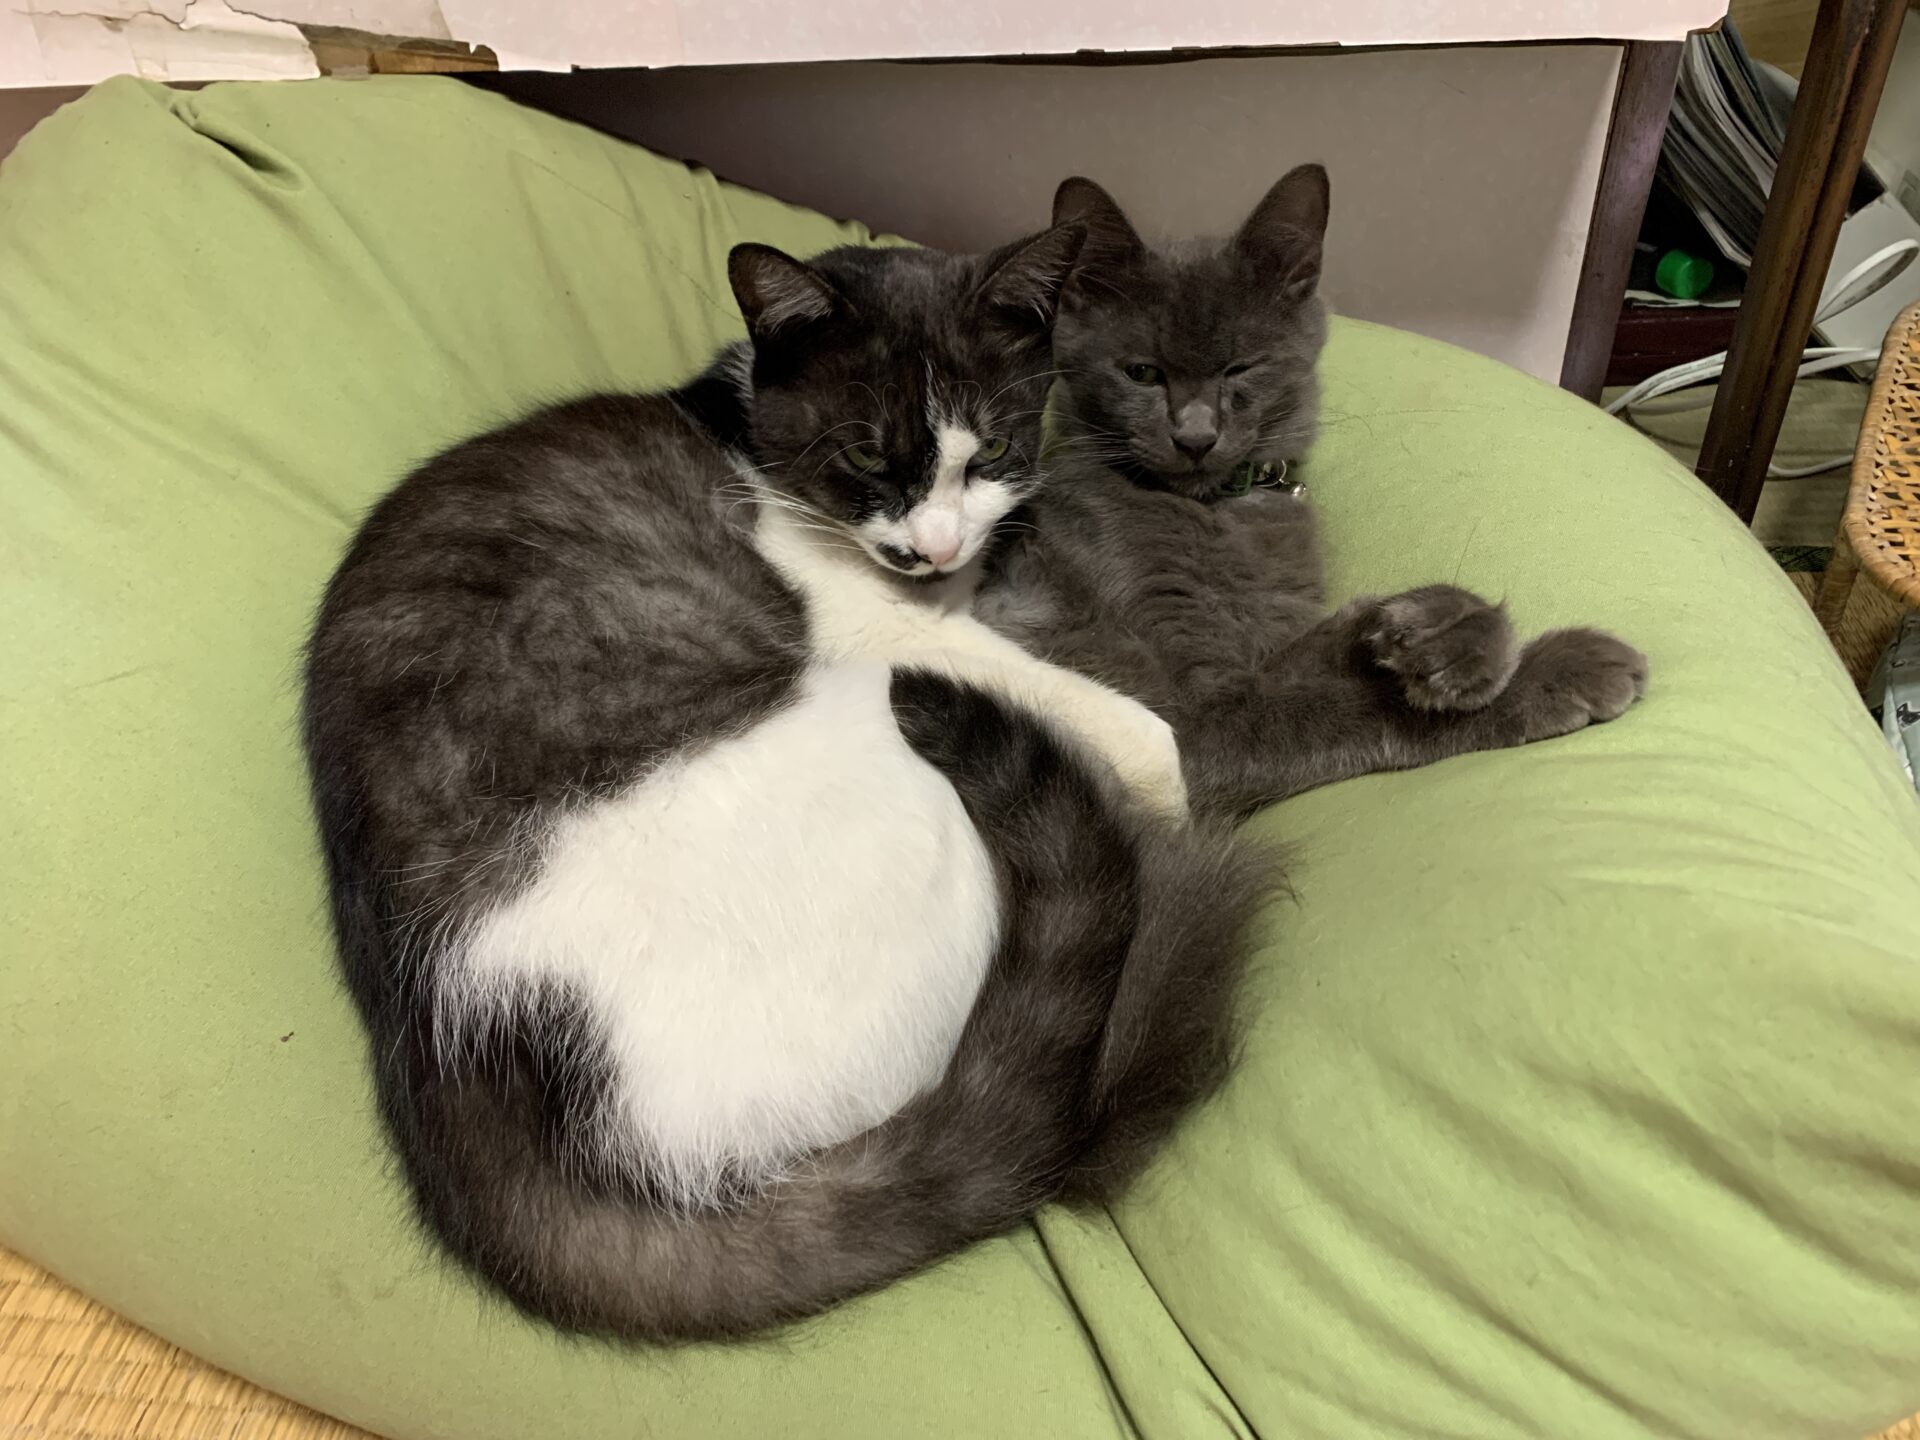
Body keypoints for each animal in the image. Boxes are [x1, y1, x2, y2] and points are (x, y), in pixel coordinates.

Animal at [301, 226, 1271, 1343]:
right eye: (865, 458)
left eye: (990, 451)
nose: (936, 548)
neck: (755, 449)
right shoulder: (893, 634)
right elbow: (1138, 726)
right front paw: (1174, 790)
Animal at [976, 168, 1648, 819]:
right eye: (1141, 372)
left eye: (1240, 368)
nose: (1195, 437)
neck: (1217, 511)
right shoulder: (1189, 718)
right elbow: (1343, 708)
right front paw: (1555, 664)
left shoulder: (1270, 636)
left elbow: (1321, 650)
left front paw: (1443, 629)